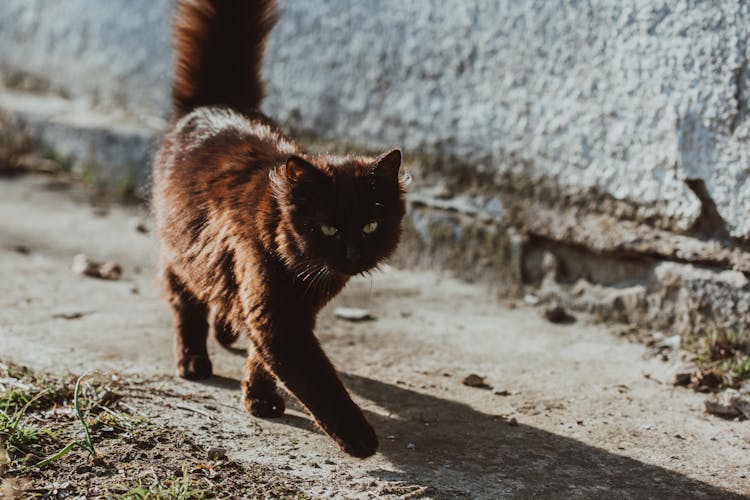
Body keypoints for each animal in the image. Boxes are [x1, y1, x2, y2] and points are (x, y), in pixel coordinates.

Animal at [153, 0, 412, 458]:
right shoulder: (278, 318)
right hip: (181, 249)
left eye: (370, 226)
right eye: (328, 229)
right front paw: (359, 438)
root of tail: (214, 103)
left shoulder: (288, 311)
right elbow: (317, 381)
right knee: (184, 300)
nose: (352, 255)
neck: (307, 272)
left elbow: (261, 358)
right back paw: (193, 361)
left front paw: (258, 398)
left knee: (220, 298)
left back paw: (224, 331)